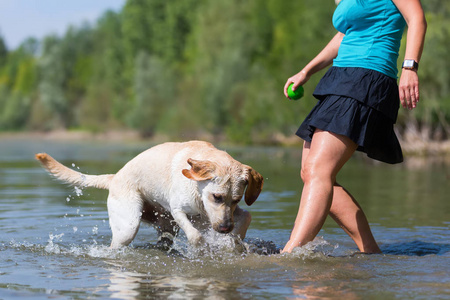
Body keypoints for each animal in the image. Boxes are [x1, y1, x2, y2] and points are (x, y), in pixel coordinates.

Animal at [37, 141, 268, 248]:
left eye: (236, 200)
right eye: (216, 197)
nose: (224, 228)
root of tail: (115, 177)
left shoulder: (221, 215)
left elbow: (246, 216)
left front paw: (235, 243)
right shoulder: (178, 210)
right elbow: (195, 236)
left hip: (165, 226)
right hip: (128, 226)